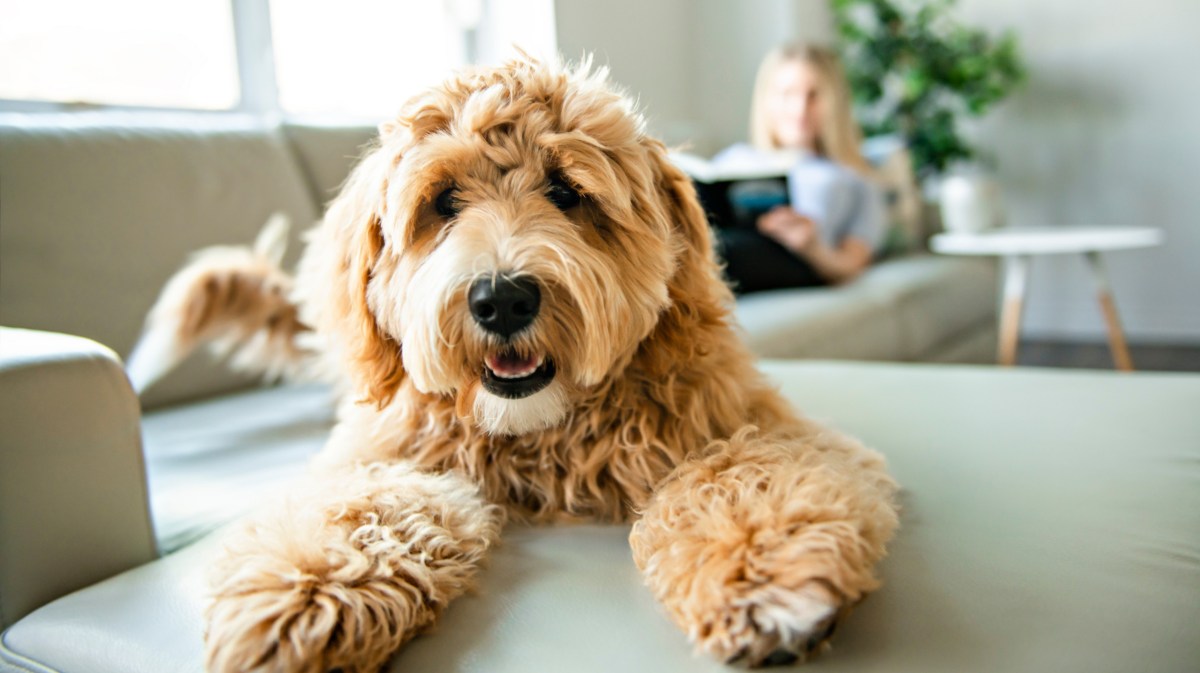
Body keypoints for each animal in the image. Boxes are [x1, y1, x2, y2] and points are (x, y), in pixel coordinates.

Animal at [133, 56, 902, 671]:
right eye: (443, 201)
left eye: (566, 192)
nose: (501, 299)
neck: (541, 434)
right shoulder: (381, 454)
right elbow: (365, 507)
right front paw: (304, 595)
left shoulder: (756, 425)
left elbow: (739, 475)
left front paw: (761, 574)